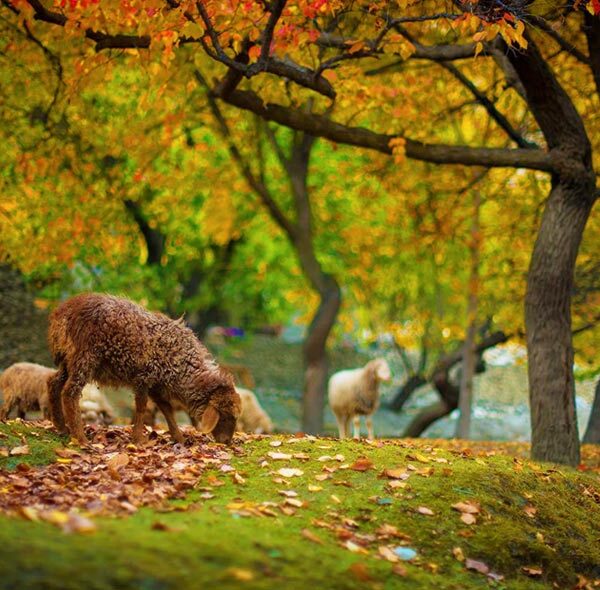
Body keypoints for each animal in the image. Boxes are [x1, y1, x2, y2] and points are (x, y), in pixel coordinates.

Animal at [47, 294, 241, 446]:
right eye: (225, 416)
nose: (227, 442)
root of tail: (63, 312)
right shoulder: (143, 378)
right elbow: (141, 408)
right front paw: (138, 439)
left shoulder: (157, 384)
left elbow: (167, 409)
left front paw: (179, 438)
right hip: (85, 358)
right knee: (70, 393)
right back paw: (80, 438)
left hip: (67, 361)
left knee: (53, 383)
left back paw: (62, 427)